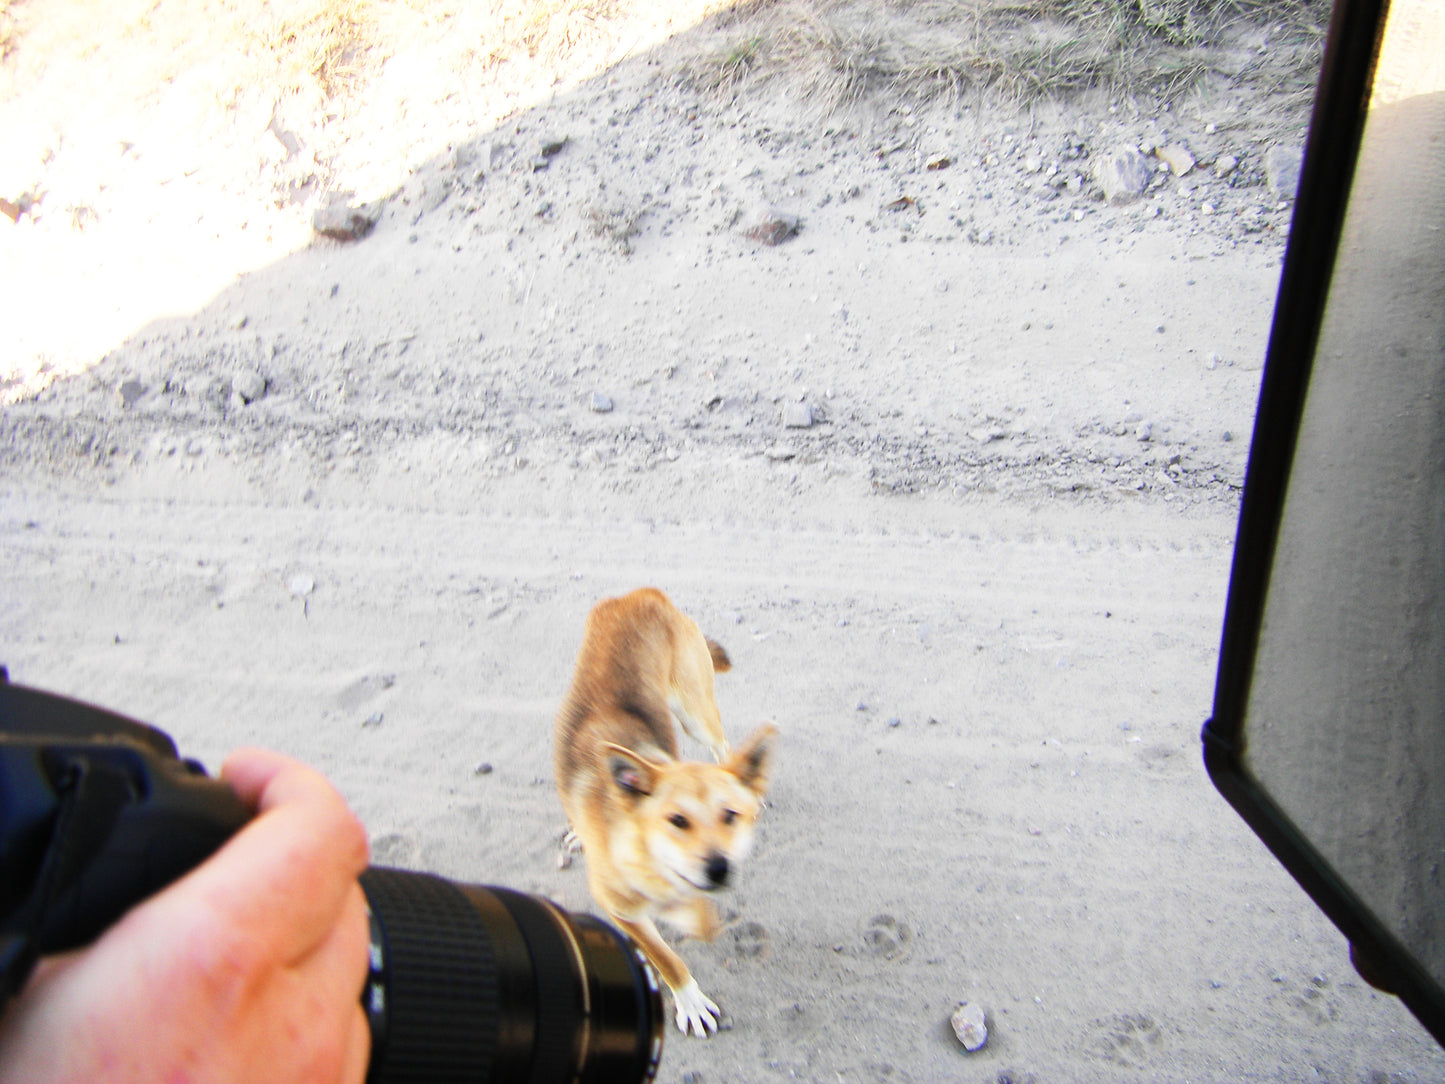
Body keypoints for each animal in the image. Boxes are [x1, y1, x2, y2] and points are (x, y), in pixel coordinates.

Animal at [551, 589, 780, 1040]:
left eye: (729, 816)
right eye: (677, 821)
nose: (719, 869)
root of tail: (640, 594)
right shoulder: (622, 909)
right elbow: (666, 958)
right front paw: (690, 1000)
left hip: (695, 713)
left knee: (725, 749)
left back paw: (747, 780)